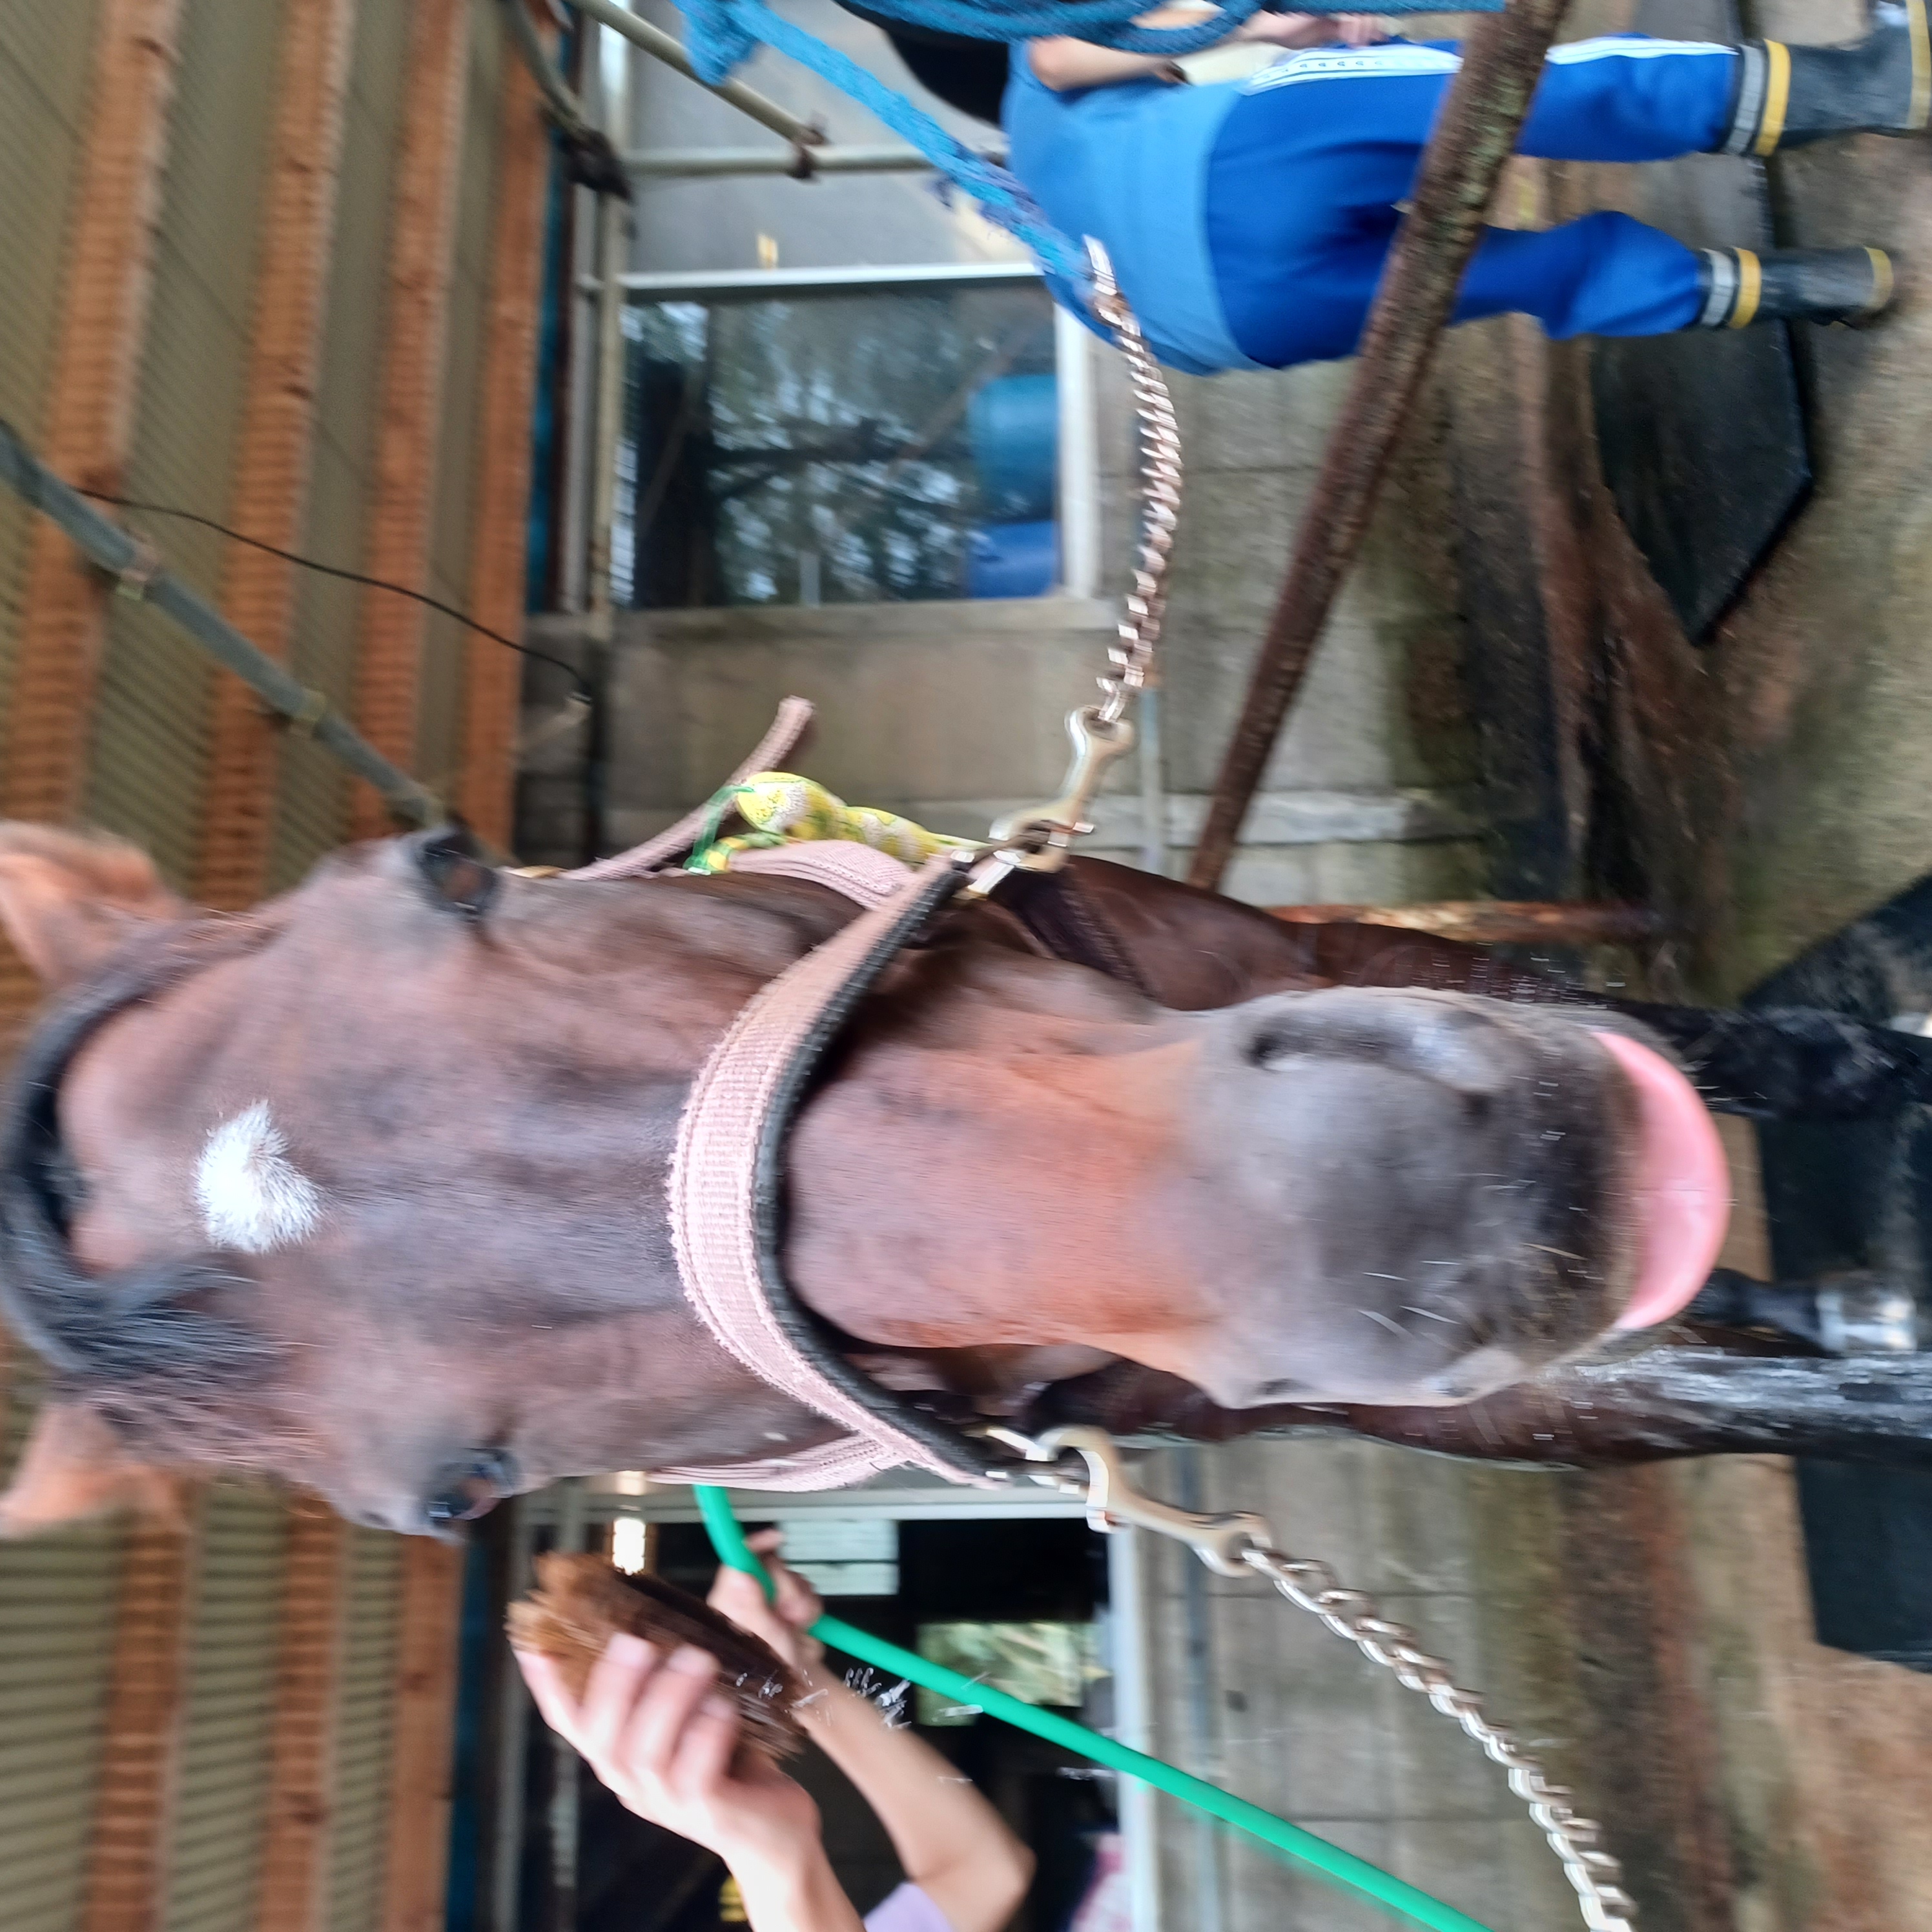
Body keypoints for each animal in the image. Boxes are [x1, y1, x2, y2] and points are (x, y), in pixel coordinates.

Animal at [0, 819, 1924, 1539]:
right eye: (458, 1500)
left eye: (452, 866)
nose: (1422, 1206)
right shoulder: (1424, 1399)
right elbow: (1773, 1401)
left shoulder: (1339, 956)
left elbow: (1713, 1045)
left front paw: (1873, 1067)